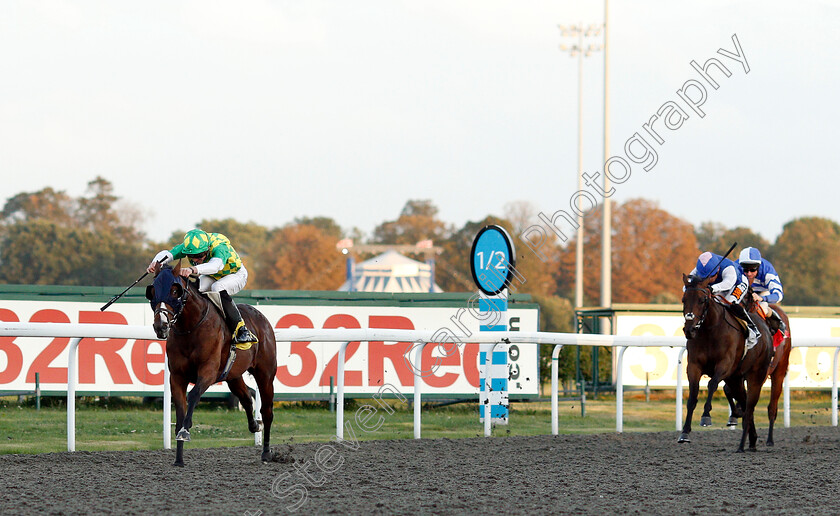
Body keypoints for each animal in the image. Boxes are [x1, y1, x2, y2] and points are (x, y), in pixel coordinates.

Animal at [144, 260, 276, 466]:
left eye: (175, 291)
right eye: (153, 290)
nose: (161, 326)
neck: (190, 329)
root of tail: (261, 317)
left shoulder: (208, 372)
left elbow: (193, 396)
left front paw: (185, 431)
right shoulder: (177, 377)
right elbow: (180, 409)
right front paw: (179, 458)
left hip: (266, 374)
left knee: (267, 410)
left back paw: (266, 452)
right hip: (233, 376)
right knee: (246, 398)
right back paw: (255, 425)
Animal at [680, 274, 772, 452]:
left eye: (702, 300)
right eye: (683, 299)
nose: (689, 330)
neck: (710, 330)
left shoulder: (725, 365)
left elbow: (712, 384)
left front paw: (706, 416)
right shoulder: (693, 366)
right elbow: (693, 396)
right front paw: (685, 432)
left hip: (756, 376)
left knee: (749, 406)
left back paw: (743, 444)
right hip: (735, 379)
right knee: (744, 403)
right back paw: (751, 439)